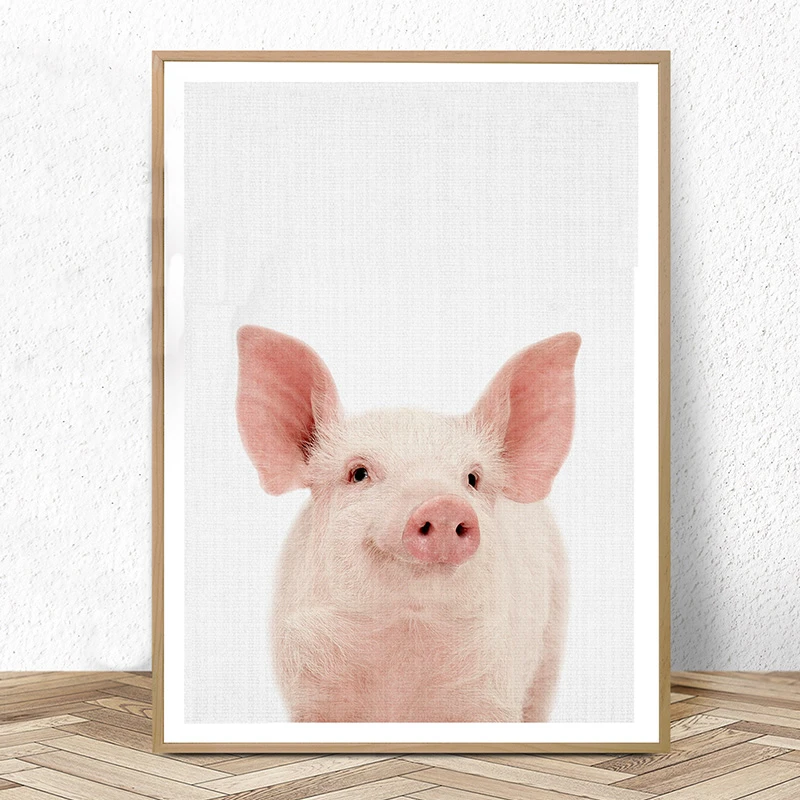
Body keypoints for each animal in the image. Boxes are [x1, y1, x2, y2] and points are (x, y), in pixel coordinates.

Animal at [236, 325, 580, 723]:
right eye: (359, 473)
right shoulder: (309, 693)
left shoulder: (494, 689)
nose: (444, 505)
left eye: (472, 479)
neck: (405, 629)